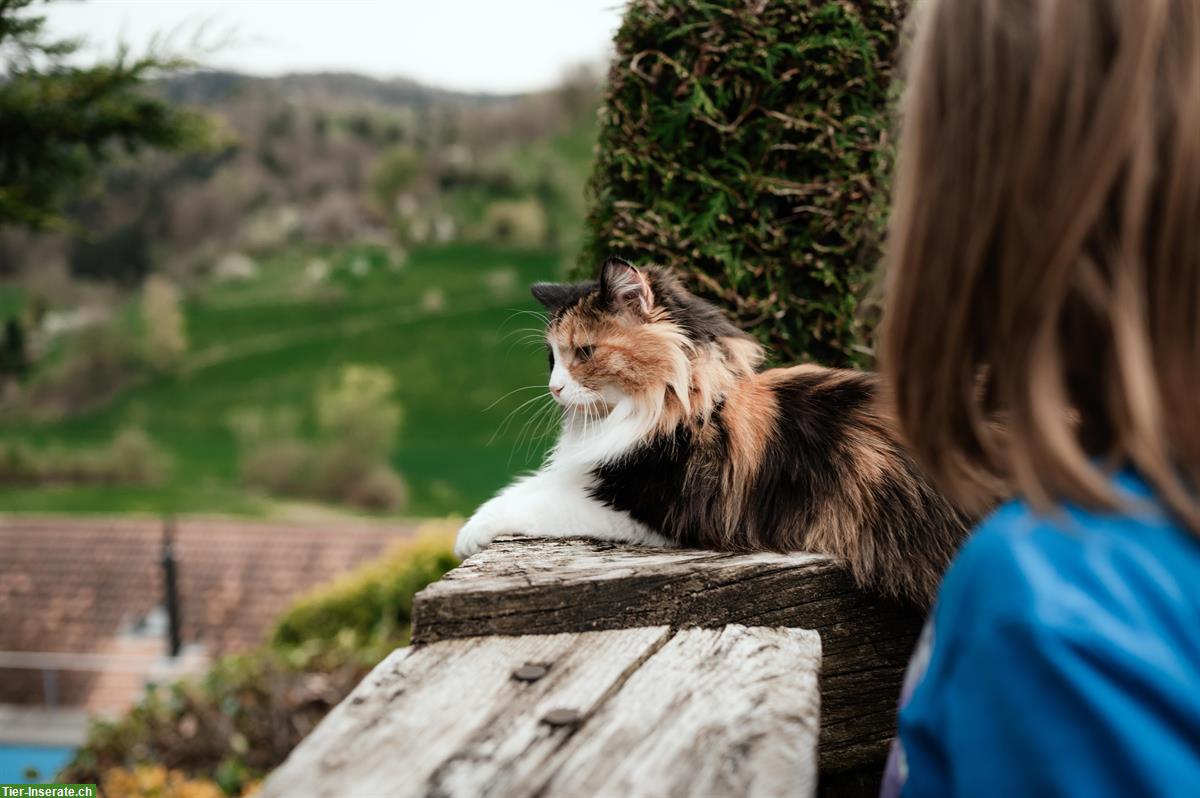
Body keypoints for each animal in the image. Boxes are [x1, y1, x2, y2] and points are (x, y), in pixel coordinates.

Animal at [453, 258, 969, 600]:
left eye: (584, 353)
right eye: (552, 358)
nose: (555, 388)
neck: (682, 404)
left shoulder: (651, 505)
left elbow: (529, 501)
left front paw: (469, 535)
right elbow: (528, 485)